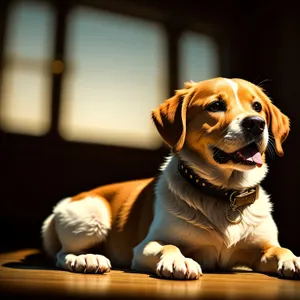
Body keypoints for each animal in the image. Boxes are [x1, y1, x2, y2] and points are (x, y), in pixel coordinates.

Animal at [41, 77, 298, 278]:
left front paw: (293, 259)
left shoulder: (263, 247)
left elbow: (280, 250)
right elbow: (170, 246)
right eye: (216, 105)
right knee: (62, 254)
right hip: (92, 217)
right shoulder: (146, 246)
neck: (225, 194)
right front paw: (179, 260)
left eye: (257, 106)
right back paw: (86, 259)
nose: (256, 123)